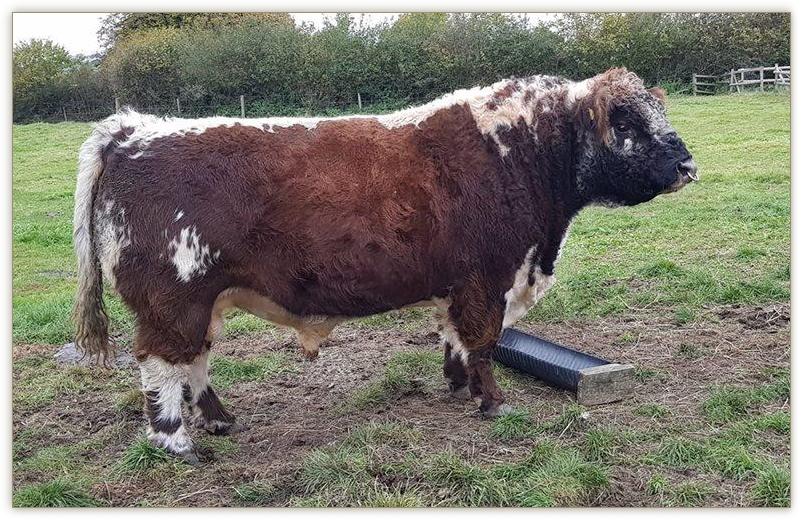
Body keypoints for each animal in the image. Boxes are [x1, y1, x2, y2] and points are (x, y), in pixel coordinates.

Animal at [74, 67, 696, 462]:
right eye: (625, 125)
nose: (688, 165)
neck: (522, 152)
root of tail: (133, 128)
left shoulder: (458, 284)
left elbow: (455, 339)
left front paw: (457, 385)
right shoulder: (488, 278)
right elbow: (484, 341)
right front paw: (492, 402)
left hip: (205, 301)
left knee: (195, 362)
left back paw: (220, 419)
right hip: (173, 300)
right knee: (162, 367)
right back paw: (177, 442)